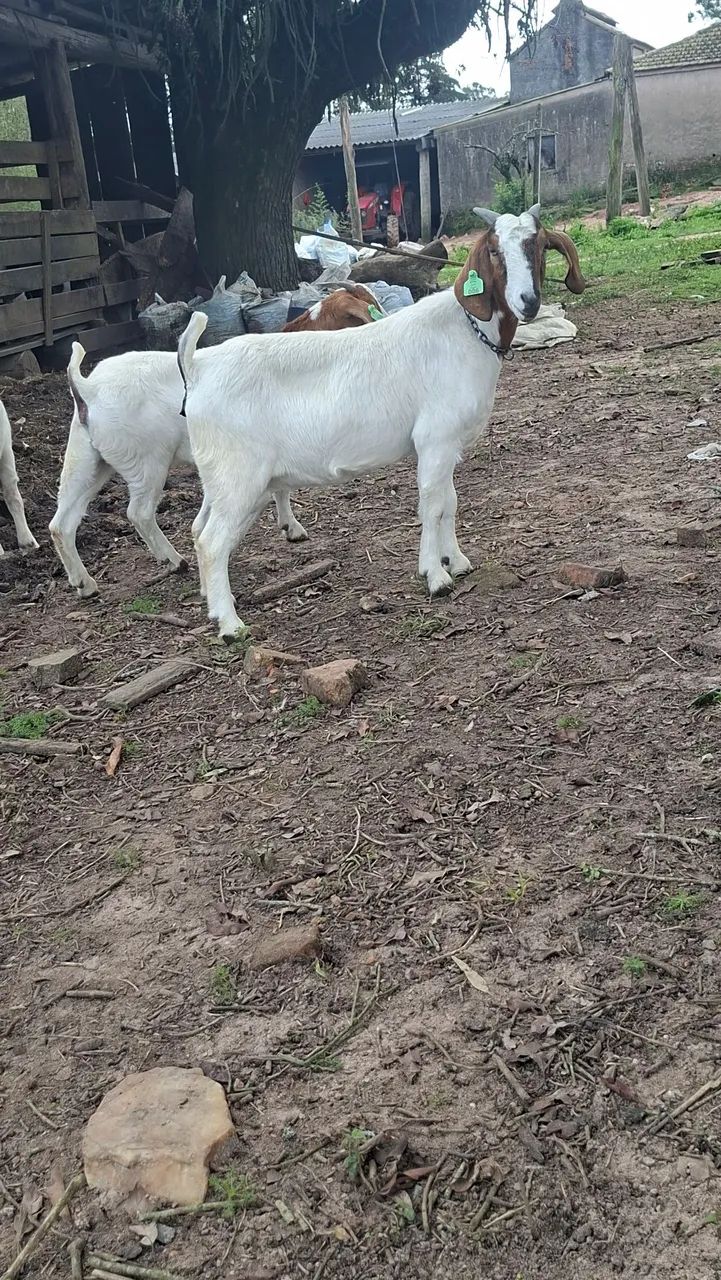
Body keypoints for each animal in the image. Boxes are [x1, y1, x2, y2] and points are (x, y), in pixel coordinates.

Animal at [178, 204, 585, 639]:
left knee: (198, 529)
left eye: (539, 246)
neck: (466, 332)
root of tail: (198, 366)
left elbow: (451, 501)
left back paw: (207, 598)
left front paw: (456, 561)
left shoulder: (449, 447)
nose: (528, 301)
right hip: (240, 477)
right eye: (493, 251)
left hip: (221, 477)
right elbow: (432, 505)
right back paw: (229, 624)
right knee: (213, 542)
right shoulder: (434, 439)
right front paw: (435, 577)